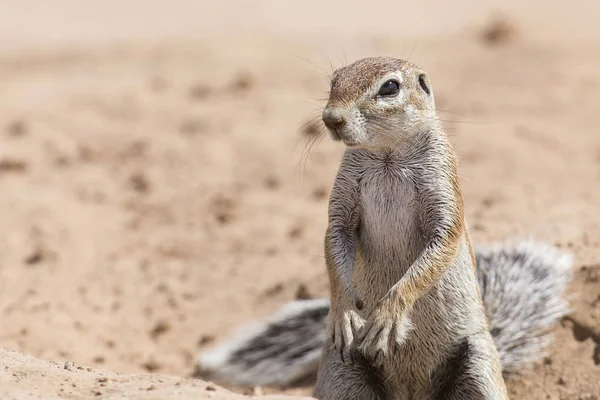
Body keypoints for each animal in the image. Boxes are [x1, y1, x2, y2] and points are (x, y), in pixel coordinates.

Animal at [195, 57, 576, 398]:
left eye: (390, 87)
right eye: (335, 80)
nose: (330, 118)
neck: (387, 156)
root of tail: (413, 395)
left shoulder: (443, 197)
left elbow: (437, 251)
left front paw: (389, 314)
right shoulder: (343, 206)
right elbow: (335, 243)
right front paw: (344, 311)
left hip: (478, 367)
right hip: (341, 372)